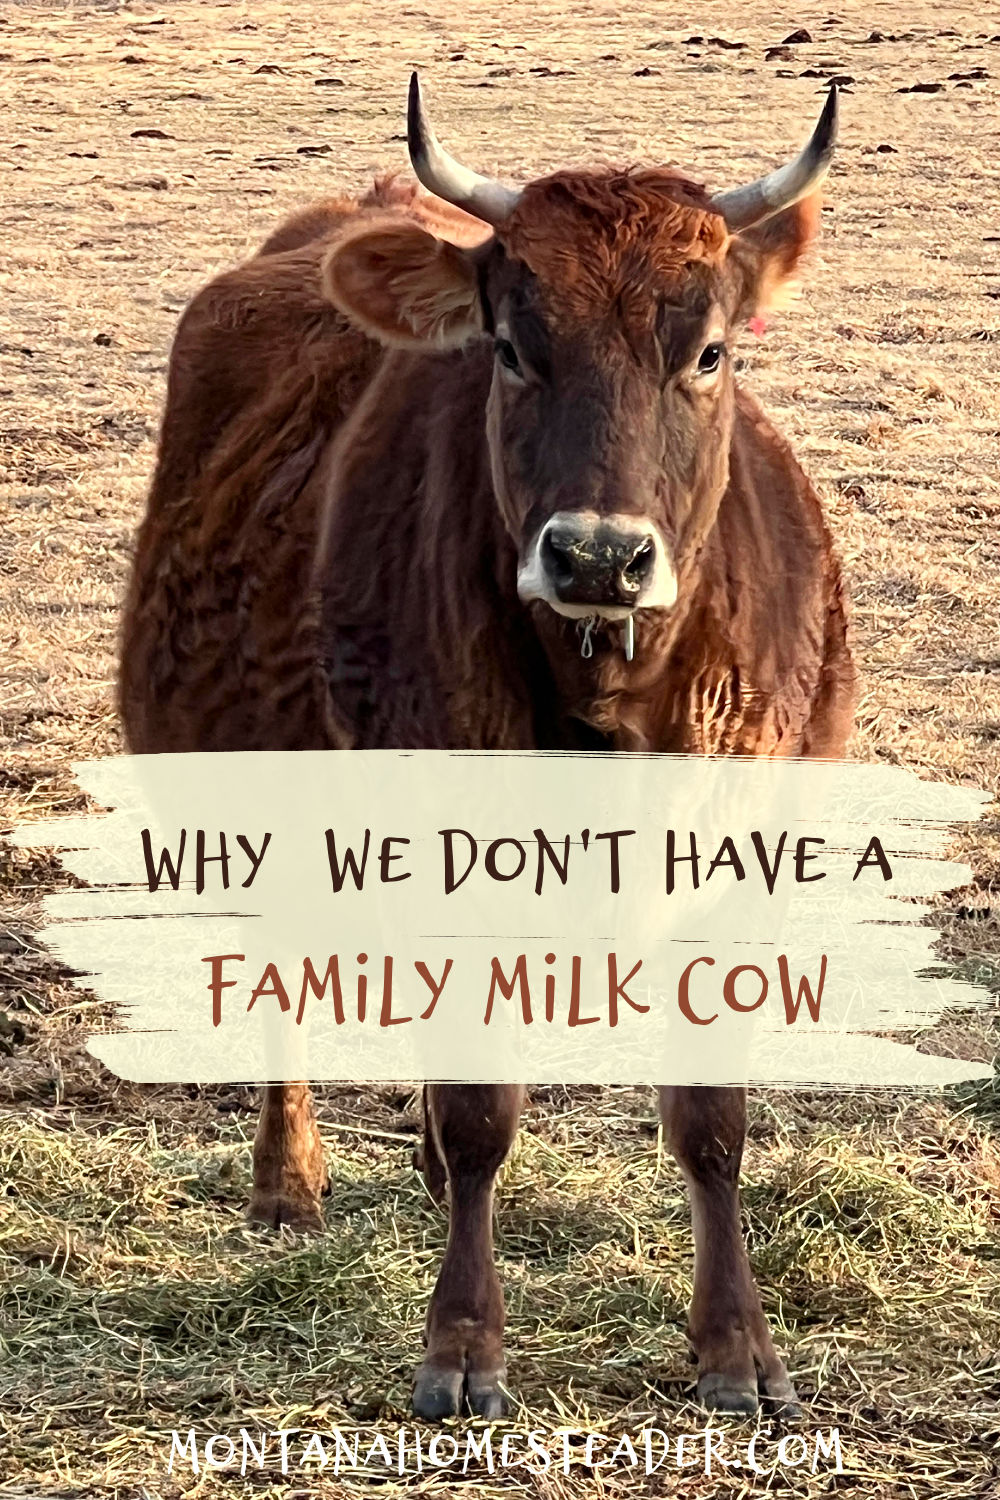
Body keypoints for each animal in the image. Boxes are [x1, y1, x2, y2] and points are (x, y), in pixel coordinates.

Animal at [119, 75, 856, 1423]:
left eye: (708, 351)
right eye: (512, 349)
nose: (597, 556)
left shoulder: (746, 868)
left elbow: (711, 1118)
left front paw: (736, 1347)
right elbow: (479, 1114)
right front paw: (463, 1342)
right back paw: (286, 1180)